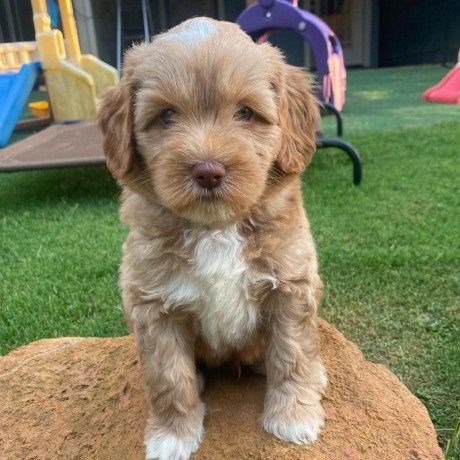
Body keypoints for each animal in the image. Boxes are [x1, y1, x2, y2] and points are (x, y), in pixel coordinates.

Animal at [97, 16, 328, 460]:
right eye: (167, 115)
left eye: (246, 113)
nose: (208, 170)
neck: (216, 228)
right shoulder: (152, 304)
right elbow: (169, 377)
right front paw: (173, 436)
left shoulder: (290, 284)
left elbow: (291, 354)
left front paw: (293, 416)